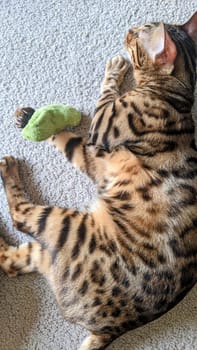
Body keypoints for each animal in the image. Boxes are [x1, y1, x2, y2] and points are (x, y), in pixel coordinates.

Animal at [0, 11, 197, 350]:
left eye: (139, 34)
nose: (129, 29)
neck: (176, 94)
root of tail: (114, 328)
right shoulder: (98, 154)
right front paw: (29, 117)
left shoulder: (101, 131)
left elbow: (79, 122)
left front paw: (115, 68)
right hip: (51, 251)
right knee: (9, 261)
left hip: (67, 227)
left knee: (21, 218)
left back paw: (9, 167)